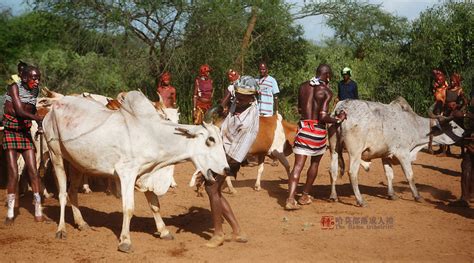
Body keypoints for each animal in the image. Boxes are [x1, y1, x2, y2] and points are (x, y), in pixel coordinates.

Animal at [43, 91, 229, 254]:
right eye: (210, 140)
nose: (226, 169)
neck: (153, 135)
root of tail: (53, 108)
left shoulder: (146, 174)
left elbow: (155, 205)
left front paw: (164, 231)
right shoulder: (127, 173)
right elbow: (128, 208)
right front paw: (125, 241)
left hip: (77, 164)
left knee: (72, 191)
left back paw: (81, 223)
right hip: (56, 155)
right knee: (62, 194)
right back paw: (61, 229)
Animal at [328, 98, 464, 207]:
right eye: (453, 126)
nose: (464, 133)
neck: (412, 124)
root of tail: (340, 110)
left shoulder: (386, 155)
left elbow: (389, 175)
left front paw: (391, 195)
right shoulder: (403, 154)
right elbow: (410, 175)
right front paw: (417, 196)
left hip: (334, 150)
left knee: (333, 171)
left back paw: (333, 196)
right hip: (355, 153)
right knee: (352, 173)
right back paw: (360, 200)